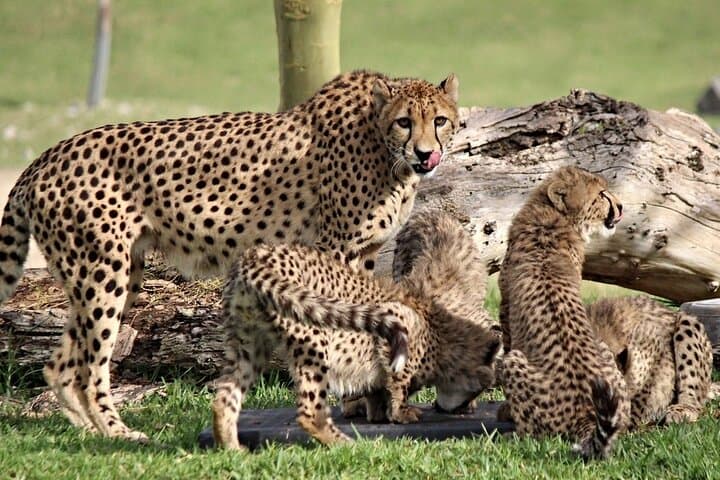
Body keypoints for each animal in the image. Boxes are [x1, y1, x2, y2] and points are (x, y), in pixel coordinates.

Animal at [0, 70, 460, 441]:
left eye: (439, 120)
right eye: (404, 122)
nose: (425, 153)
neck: (383, 148)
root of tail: (47, 155)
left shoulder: (363, 251)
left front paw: (370, 402)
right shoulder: (335, 249)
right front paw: (359, 402)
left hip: (115, 275)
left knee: (62, 363)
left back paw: (90, 432)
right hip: (103, 273)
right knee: (90, 365)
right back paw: (118, 433)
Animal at [212, 211, 501, 450]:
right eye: (479, 388)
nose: (451, 408)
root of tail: (255, 256)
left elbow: (379, 387)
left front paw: (379, 412)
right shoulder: (399, 321)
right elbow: (399, 380)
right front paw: (400, 412)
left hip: (248, 343)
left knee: (224, 398)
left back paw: (233, 449)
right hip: (312, 339)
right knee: (309, 410)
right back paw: (344, 444)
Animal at [497, 165, 629, 460]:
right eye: (601, 194)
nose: (621, 207)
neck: (553, 219)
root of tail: (587, 414)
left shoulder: (505, 310)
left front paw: (505, 411)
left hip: (513, 361)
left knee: (533, 434)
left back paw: (512, 434)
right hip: (605, 356)